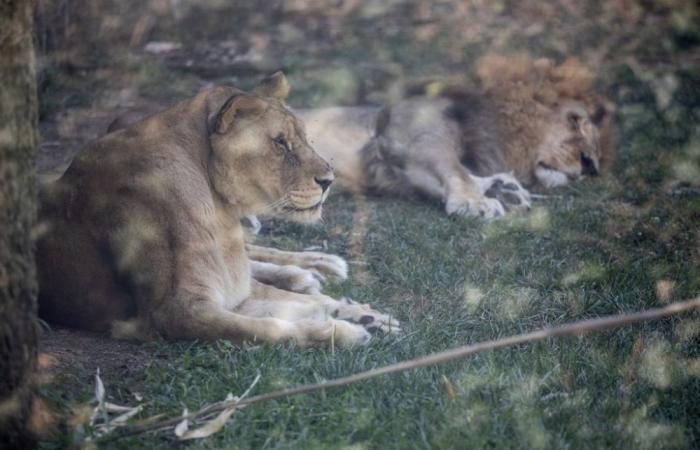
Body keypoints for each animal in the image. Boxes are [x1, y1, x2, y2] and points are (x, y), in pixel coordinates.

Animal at [36, 72, 399, 346]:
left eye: (305, 137)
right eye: (279, 142)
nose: (329, 180)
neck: (216, 204)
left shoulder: (236, 291)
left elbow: (309, 304)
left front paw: (368, 316)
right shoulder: (175, 313)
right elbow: (270, 328)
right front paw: (345, 333)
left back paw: (315, 269)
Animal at [296, 54, 614, 219]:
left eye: (598, 154)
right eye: (575, 122)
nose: (590, 165)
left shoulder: (394, 171)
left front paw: (503, 189)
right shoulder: (409, 131)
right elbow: (454, 168)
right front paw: (475, 202)